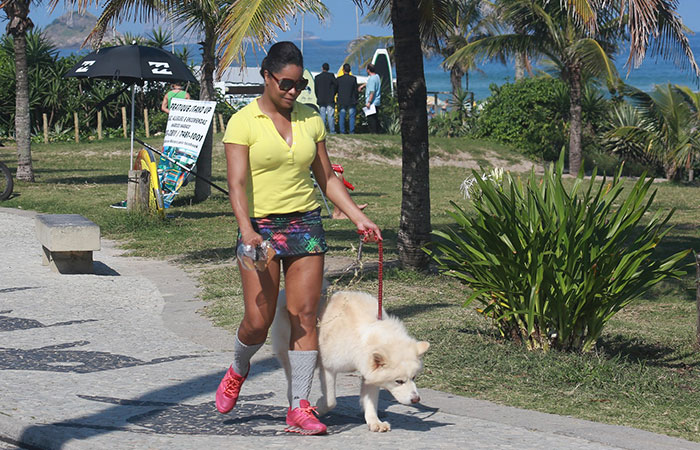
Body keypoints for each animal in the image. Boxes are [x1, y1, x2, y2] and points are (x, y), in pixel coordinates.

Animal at [270, 288, 430, 432]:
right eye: (399, 381)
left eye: (414, 377)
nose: (416, 400)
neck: (363, 336)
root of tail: (284, 296)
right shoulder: (328, 368)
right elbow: (331, 400)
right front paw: (319, 408)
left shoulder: (369, 373)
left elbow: (370, 401)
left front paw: (374, 422)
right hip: (290, 354)